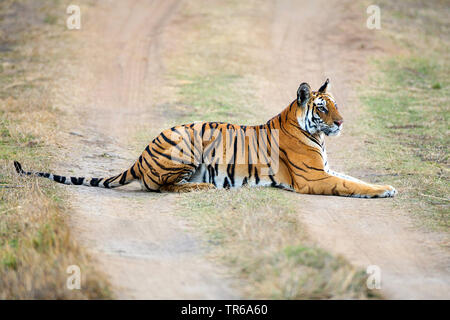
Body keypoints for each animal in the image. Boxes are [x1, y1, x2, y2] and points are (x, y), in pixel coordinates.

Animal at [13, 79, 398, 198]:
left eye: (336, 105)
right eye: (322, 108)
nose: (342, 122)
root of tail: (140, 156)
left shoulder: (325, 170)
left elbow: (353, 178)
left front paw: (387, 187)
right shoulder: (314, 178)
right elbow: (351, 185)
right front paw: (385, 191)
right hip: (185, 143)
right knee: (161, 187)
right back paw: (203, 187)